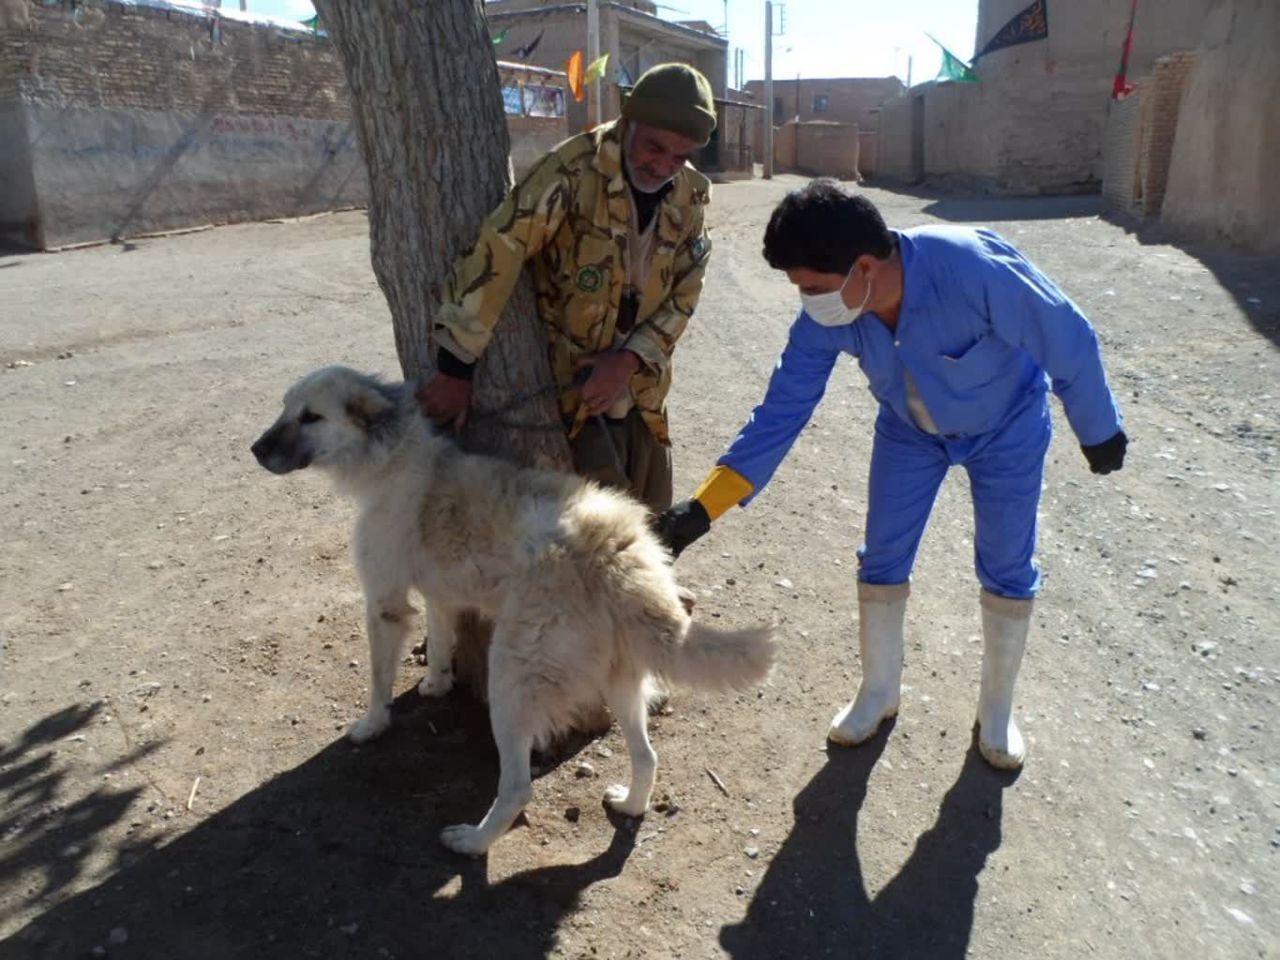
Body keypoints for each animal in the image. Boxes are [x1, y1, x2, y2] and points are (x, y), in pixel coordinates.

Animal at [245, 368, 773, 855]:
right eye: (285, 408)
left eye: (311, 417)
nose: (255, 450)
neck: (393, 455)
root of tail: (614, 551)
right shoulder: (440, 593)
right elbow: (441, 638)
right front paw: (436, 683)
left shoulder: (385, 602)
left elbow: (379, 680)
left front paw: (372, 726)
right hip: (619, 680)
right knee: (647, 757)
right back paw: (629, 805)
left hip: (511, 679)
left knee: (519, 787)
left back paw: (472, 841)